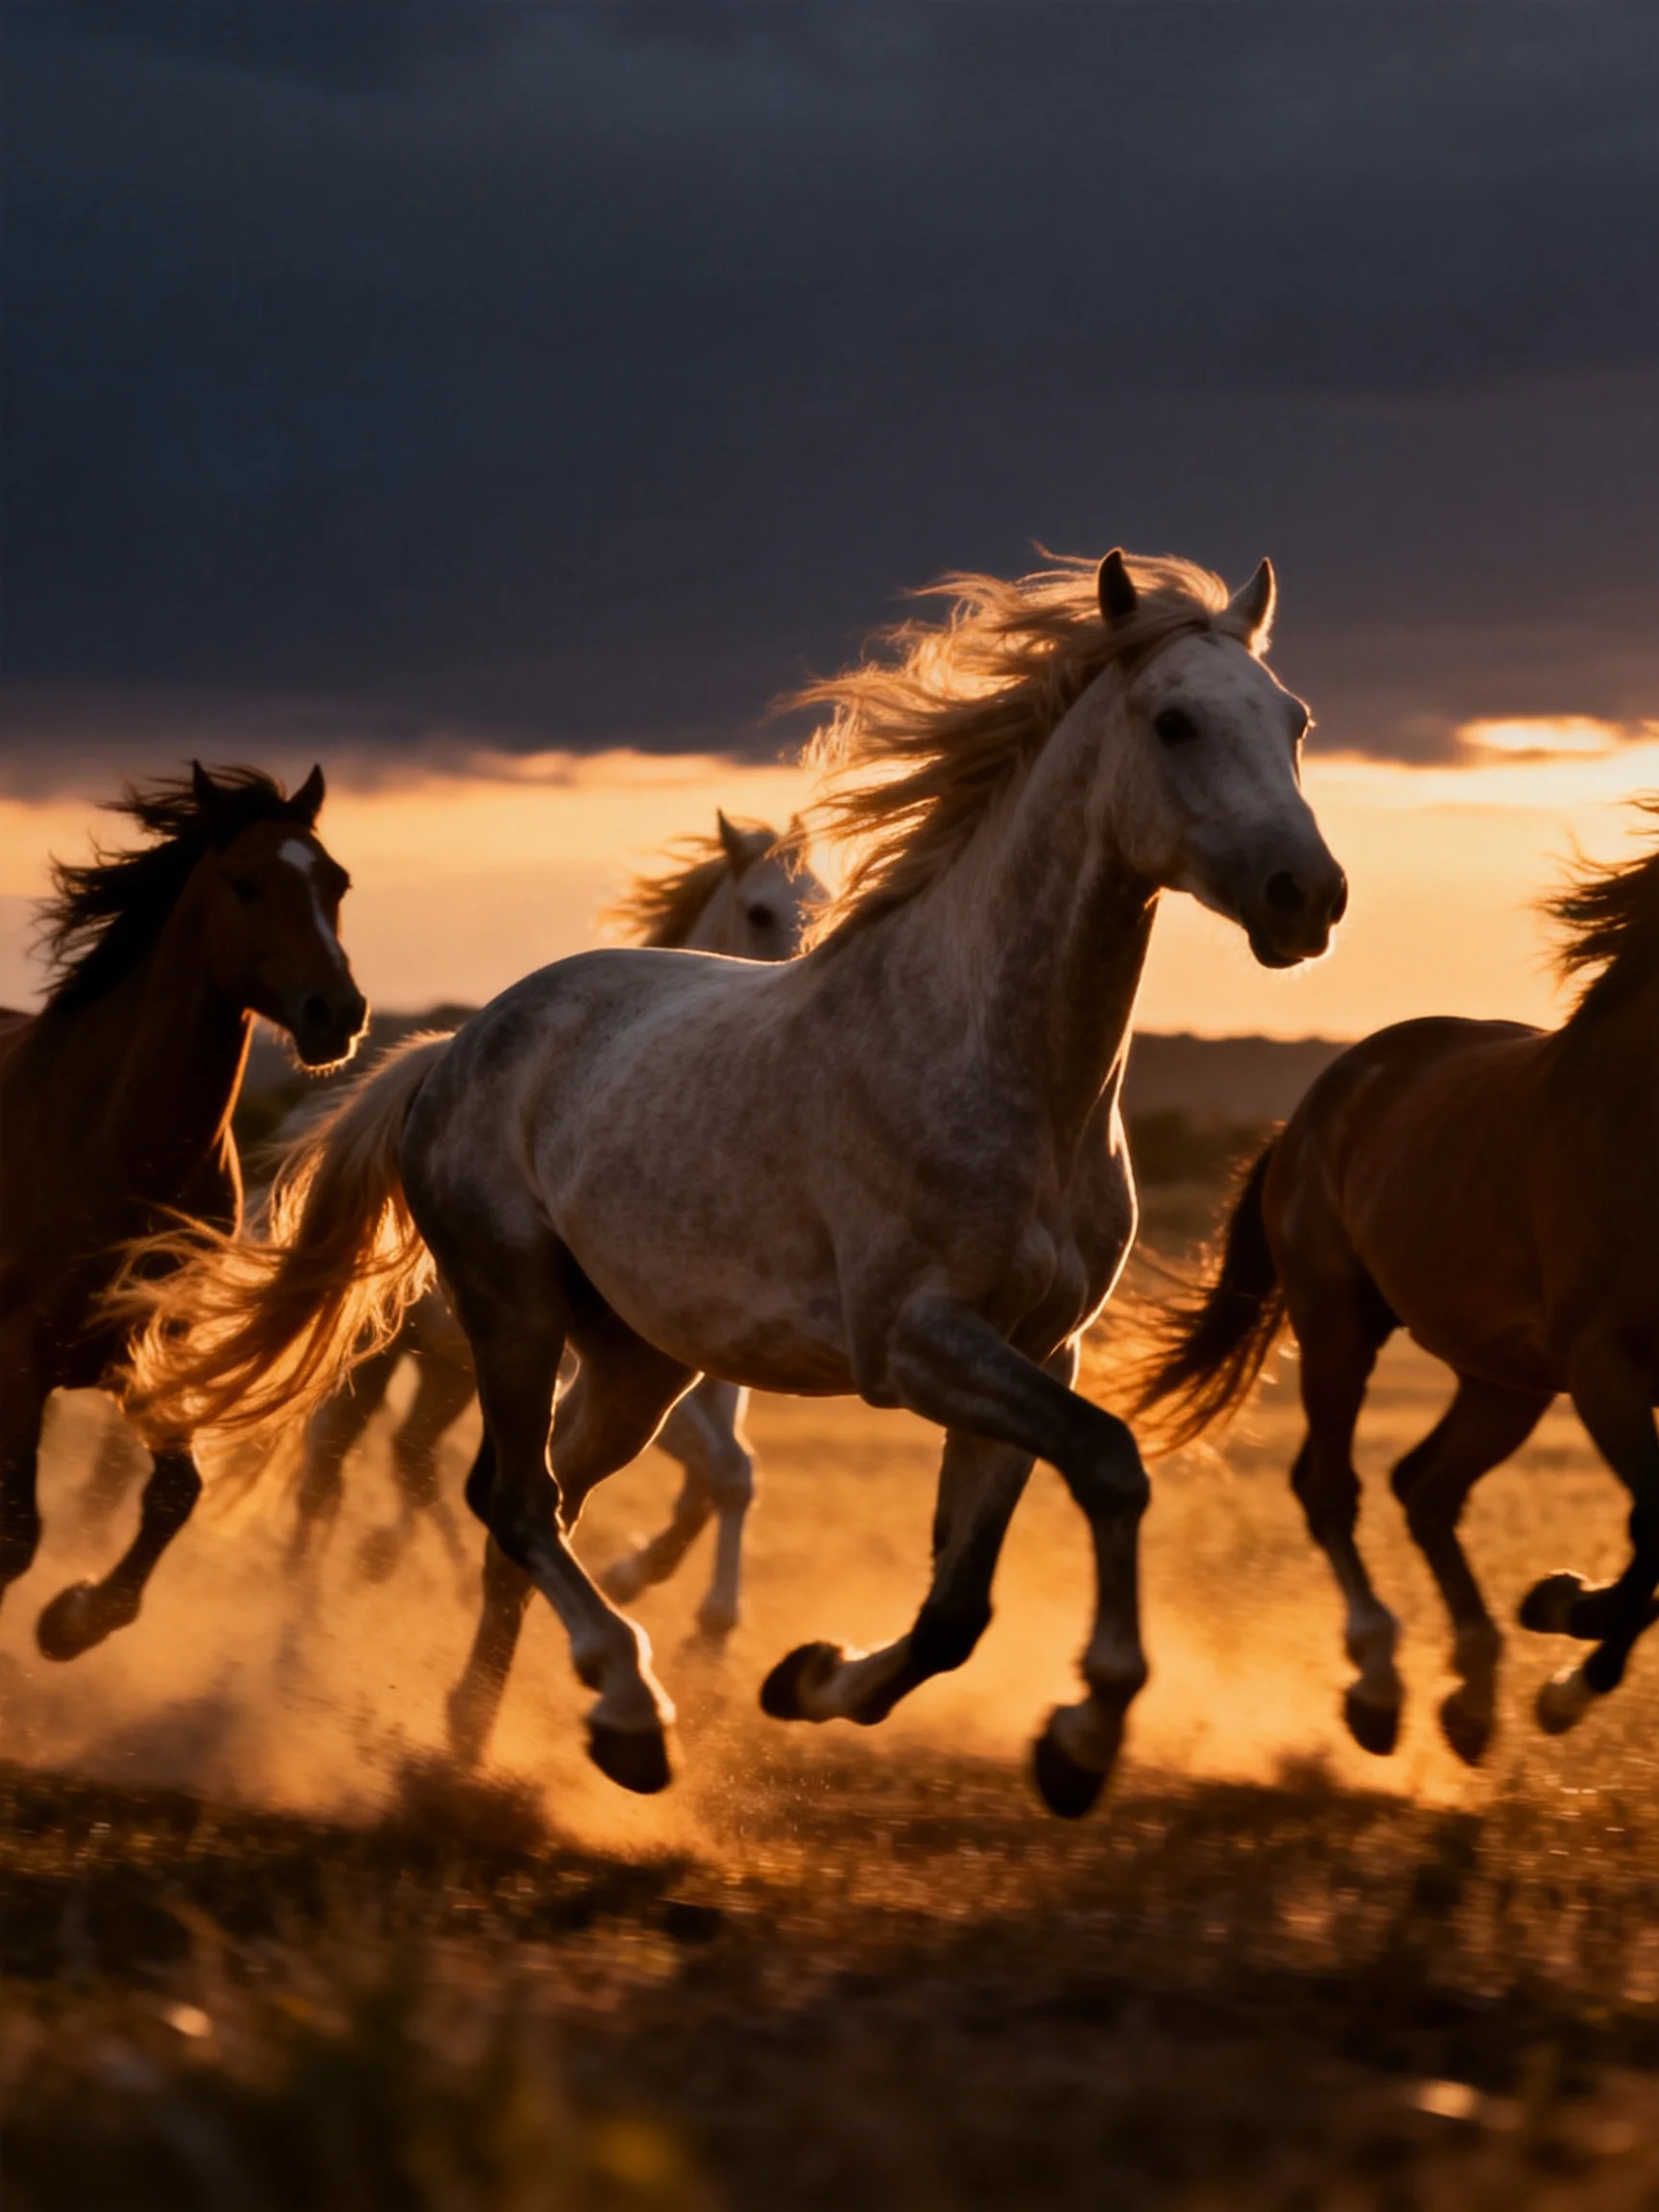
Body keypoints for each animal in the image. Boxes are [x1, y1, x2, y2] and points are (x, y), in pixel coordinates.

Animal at [0, 763, 366, 1663]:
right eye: (245, 884)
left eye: (336, 883)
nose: (335, 1012)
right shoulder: (20, 1354)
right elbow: (16, 1535)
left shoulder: (145, 1352)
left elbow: (177, 1493)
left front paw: (75, 1618)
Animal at [288, 812, 826, 1643]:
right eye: (762, 910)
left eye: (824, 895)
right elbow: (718, 1471)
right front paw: (654, 1586)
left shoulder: (713, 1379)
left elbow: (729, 1477)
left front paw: (695, 1608)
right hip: (386, 1356)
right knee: (330, 1464)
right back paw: (298, 1618)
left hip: (452, 1369)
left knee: (411, 1455)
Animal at [1132, 803, 1659, 1765]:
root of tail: (1310, 1110)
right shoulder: (1604, 1364)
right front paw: (1565, 1634)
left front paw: (1562, 1629)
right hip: (1339, 1326)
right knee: (1330, 1487)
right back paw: (1380, 1692)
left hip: (1505, 1380)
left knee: (1426, 1488)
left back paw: (1474, 1700)